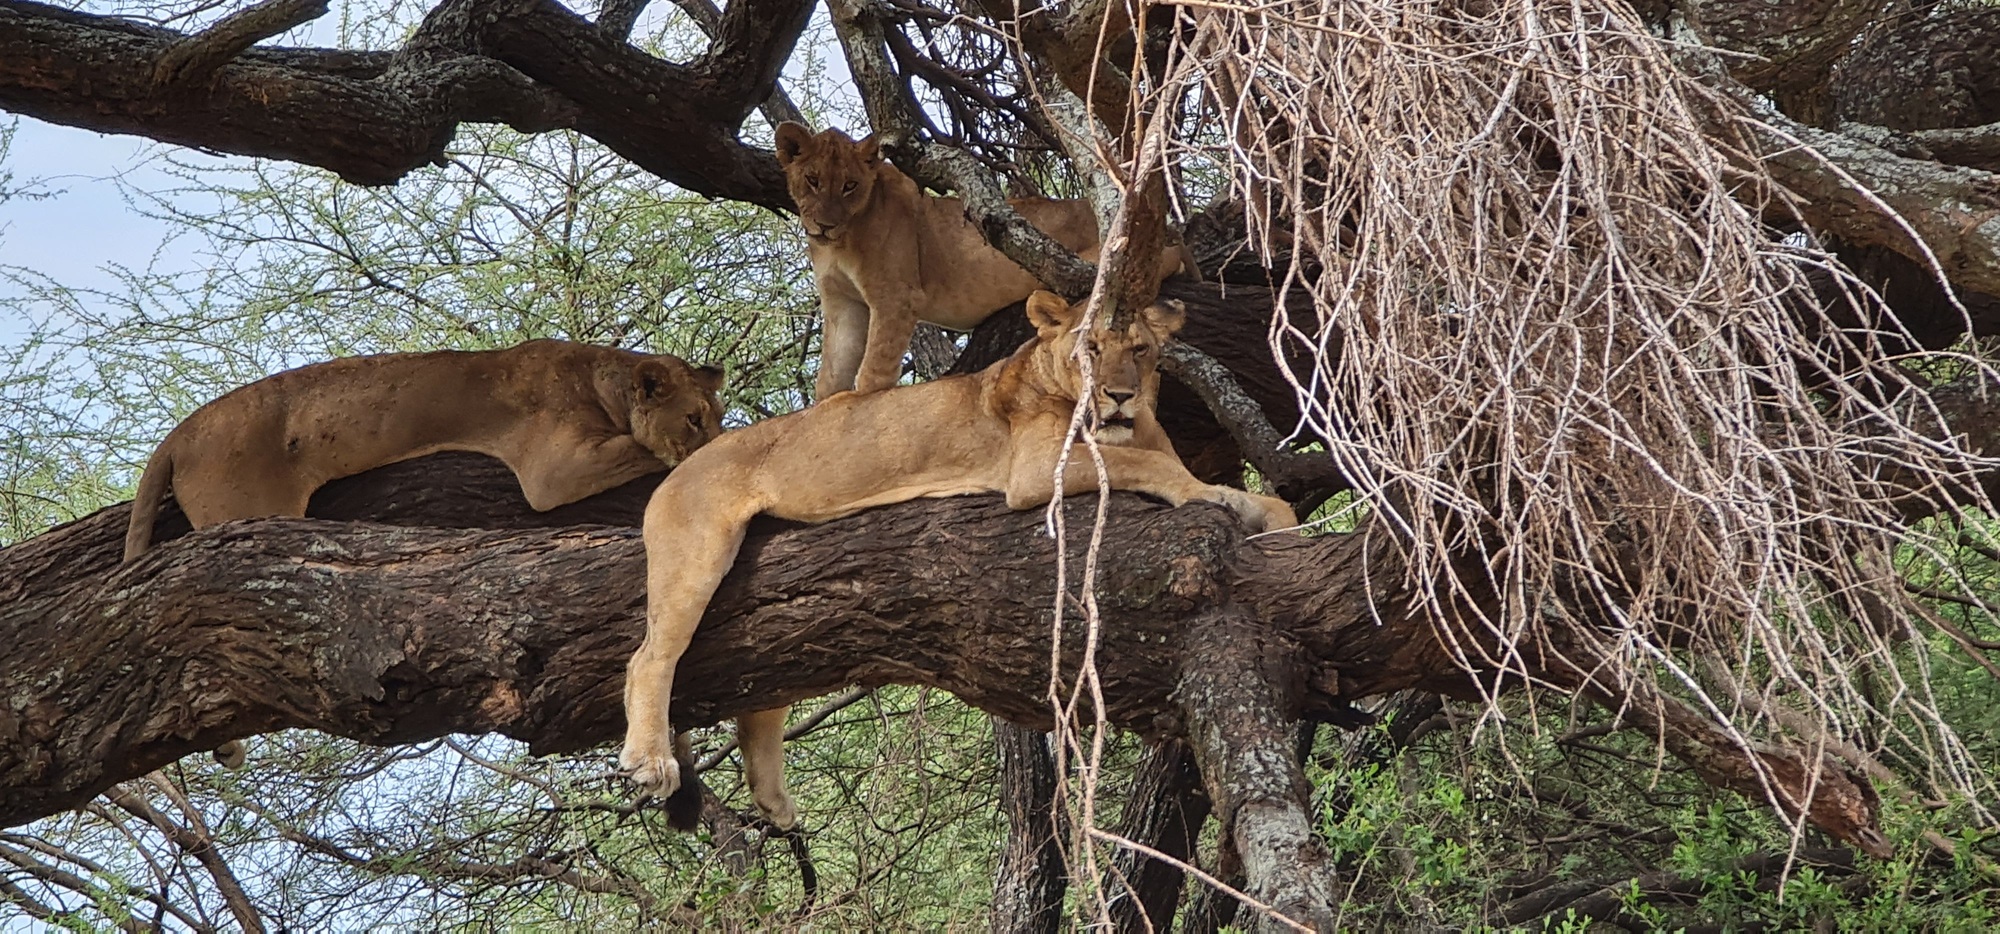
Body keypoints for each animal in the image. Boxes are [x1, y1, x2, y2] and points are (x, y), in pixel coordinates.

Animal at [619, 291, 1295, 829]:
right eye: (1090, 349)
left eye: (1143, 350)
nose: (1121, 396)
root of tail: (676, 469)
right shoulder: (1035, 471)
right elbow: (1151, 465)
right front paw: (1212, 495)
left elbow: (1258, 496)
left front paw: (1273, 519)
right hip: (696, 553)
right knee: (648, 657)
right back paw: (651, 760)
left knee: (761, 688)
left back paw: (773, 799)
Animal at [774, 122, 1197, 401]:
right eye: (812, 180)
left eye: (850, 185)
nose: (825, 224)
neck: (840, 243)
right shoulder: (842, 302)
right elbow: (831, 376)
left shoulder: (896, 297)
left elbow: (872, 374)